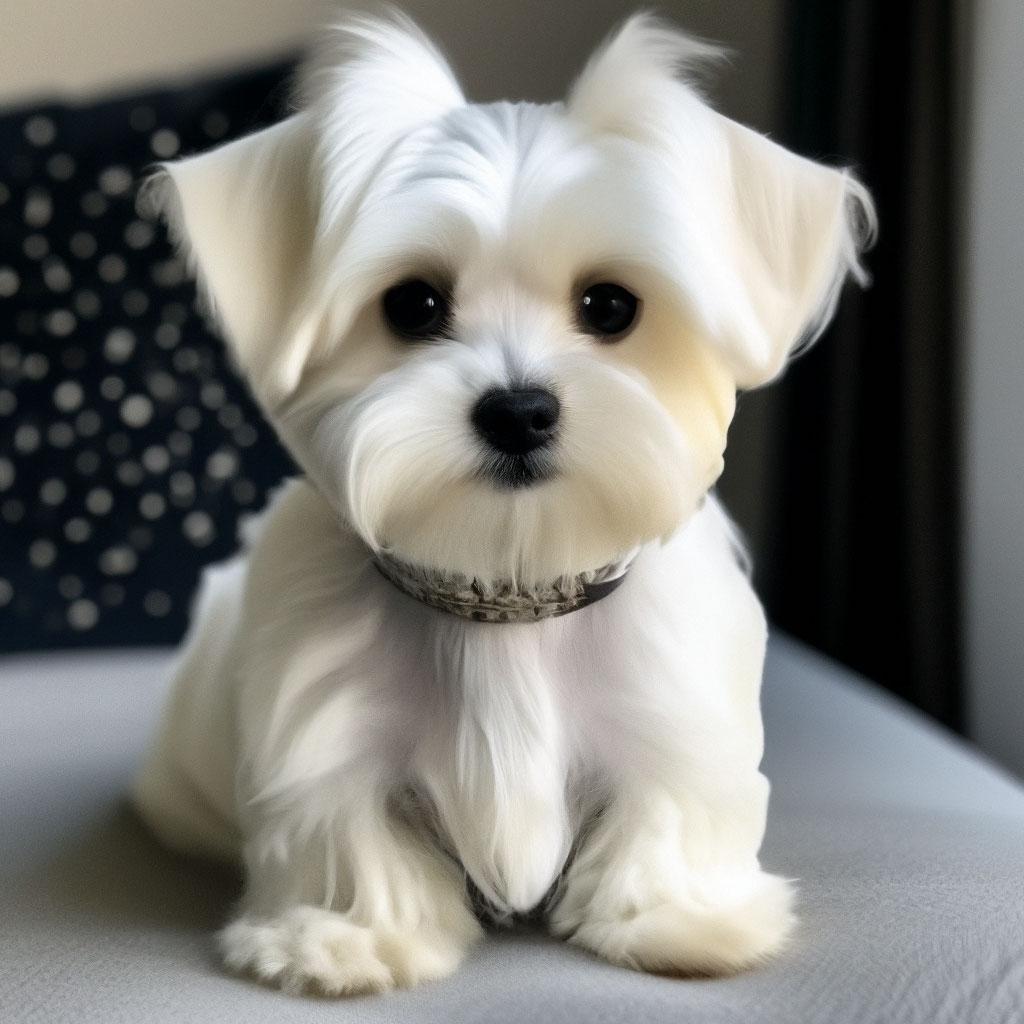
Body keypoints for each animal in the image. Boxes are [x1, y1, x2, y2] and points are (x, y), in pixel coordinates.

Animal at [132, 11, 874, 994]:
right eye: (413, 304)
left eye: (610, 306)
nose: (518, 411)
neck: (507, 590)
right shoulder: (326, 735)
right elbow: (353, 831)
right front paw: (347, 938)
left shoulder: (672, 712)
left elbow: (667, 803)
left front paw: (677, 919)